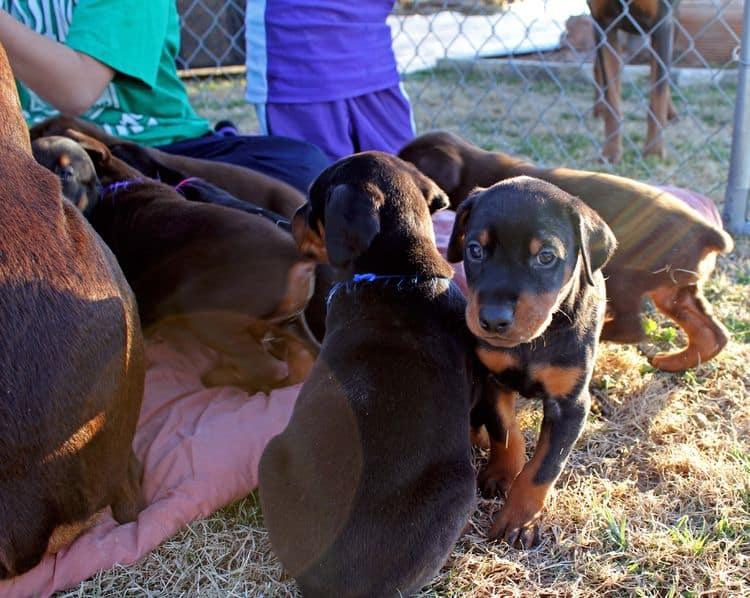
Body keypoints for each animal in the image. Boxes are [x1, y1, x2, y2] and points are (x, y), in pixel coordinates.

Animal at [400, 132, 736, 372]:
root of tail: (706, 230)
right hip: (675, 289)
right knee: (712, 333)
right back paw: (673, 361)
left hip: (623, 276)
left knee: (632, 327)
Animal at [450, 176, 620, 552]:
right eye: (475, 250)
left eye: (546, 257)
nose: (493, 320)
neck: (532, 344)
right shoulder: (492, 378)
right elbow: (504, 430)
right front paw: (501, 474)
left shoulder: (569, 406)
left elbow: (544, 468)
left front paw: (518, 521)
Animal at [592, 0, 680, 164]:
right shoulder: (603, 24)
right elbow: (611, 100)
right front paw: (611, 151)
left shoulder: (662, 24)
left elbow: (658, 99)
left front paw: (654, 152)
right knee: (596, 67)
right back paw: (598, 107)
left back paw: (671, 112)